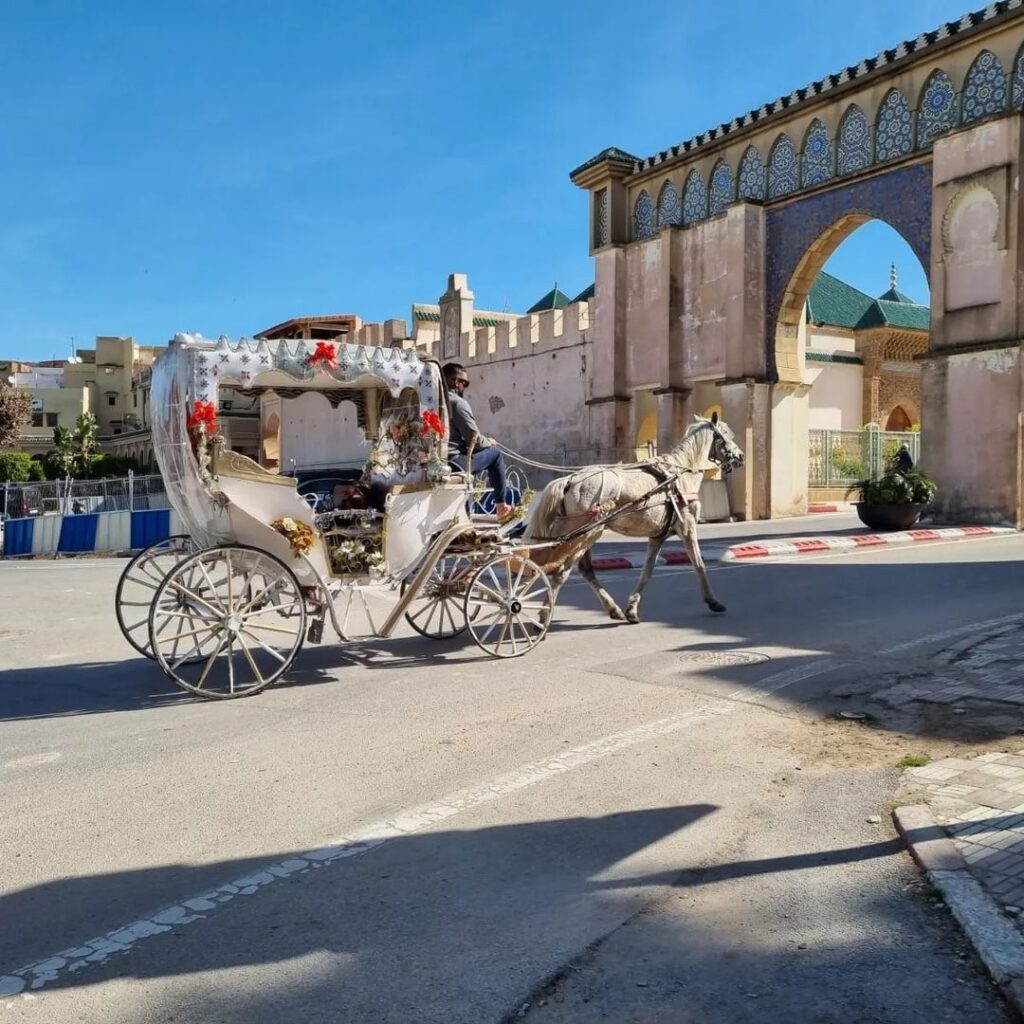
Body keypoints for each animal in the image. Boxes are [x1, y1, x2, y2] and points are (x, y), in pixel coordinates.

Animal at [528, 415, 745, 622]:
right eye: (727, 435)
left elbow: (647, 571)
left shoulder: (658, 536)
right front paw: (713, 601)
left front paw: (632, 608)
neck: (680, 475)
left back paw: (613, 609)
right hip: (586, 534)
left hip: (584, 535)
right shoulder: (687, 527)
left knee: (585, 570)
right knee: (562, 572)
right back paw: (545, 613)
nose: (741, 456)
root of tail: (572, 479)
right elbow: (699, 564)